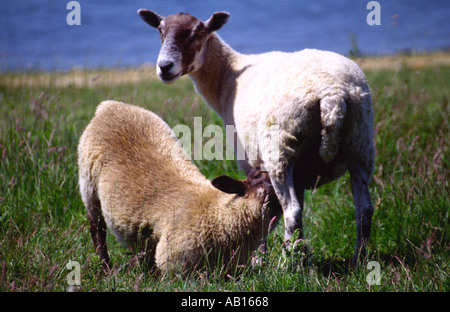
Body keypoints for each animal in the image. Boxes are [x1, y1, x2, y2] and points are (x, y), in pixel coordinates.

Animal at [77, 100, 282, 272]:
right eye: (263, 182)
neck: (220, 215)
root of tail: (109, 106)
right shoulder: (173, 266)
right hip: (88, 184)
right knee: (97, 229)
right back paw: (105, 267)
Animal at [138, 9, 376, 264]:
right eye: (160, 31)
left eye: (199, 33)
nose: (165, 66)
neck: (225, 76)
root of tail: (332, 94)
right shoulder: (299, 172)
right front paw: (299, 252)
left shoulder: (249, 160)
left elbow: (261, 206)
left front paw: (259, 259)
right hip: (360, 143)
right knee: (364, 210)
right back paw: (358, 260)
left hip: (281, 150)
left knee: (292, 211)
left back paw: (287, 264)